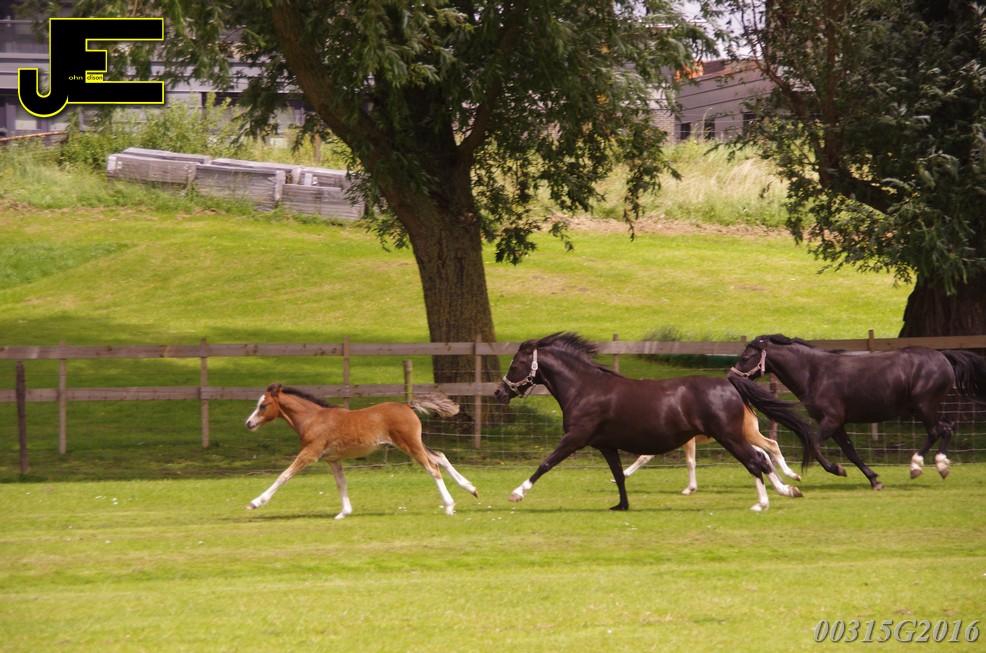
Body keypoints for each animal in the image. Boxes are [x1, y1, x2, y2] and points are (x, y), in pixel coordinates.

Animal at [244, 383, 478, 518]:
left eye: (263, 405)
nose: (249, 424)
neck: (313, 419)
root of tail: (407, 406)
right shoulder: (332, 459)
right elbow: (341, 483)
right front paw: (344, 513)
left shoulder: (310, 454)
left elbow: (284, 475)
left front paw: (255, 503)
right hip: (413, 443)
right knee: (440, 457)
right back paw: (471, 488)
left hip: (409, 444)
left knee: (433, 467)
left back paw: (449, 506)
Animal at [493, 332, 820, 512]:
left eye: (516, 364)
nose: (499, 392)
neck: (584, 388)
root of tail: (729, 383)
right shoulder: (606, 445)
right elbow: (620, 475)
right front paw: (621, 506)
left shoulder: (576, 438)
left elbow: (546, 463)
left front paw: (516, 493)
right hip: (734, 436)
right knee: (762, 458)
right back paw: (787, 490)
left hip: (729, 436)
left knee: (756, 461)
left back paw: (764, 502)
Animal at [730, 334, 986, 488]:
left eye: (745, 357)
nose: (731, 377)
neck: (814, 373)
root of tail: (943, 356)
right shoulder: (838, 424)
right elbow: (850, 451)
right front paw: (874, 480)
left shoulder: (831, 420)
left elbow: (813, 445)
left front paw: (836, 469)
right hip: (920, 408)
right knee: (947, 428)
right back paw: (942, 466)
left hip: (923, 406)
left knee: (935, 431)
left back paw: (916, 467)